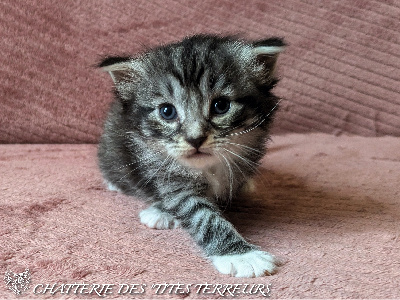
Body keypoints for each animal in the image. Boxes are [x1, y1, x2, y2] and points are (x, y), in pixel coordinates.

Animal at [97, 34, 284, 276]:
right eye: (167, 111)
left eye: (221, 105)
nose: (195, 139)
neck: (208, 167)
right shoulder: (172, 181)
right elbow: (203, 217)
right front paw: (241, 255)